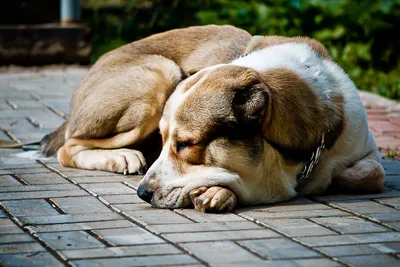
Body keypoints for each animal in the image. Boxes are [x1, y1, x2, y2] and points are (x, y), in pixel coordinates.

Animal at [40, 25, 384, 214]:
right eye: (164, 140)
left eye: (186, 144)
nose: (142, 194)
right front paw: (219, 192)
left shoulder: (366, 149)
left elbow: (371, 173)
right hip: (160, 75)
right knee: (68, 146)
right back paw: (121, 157)